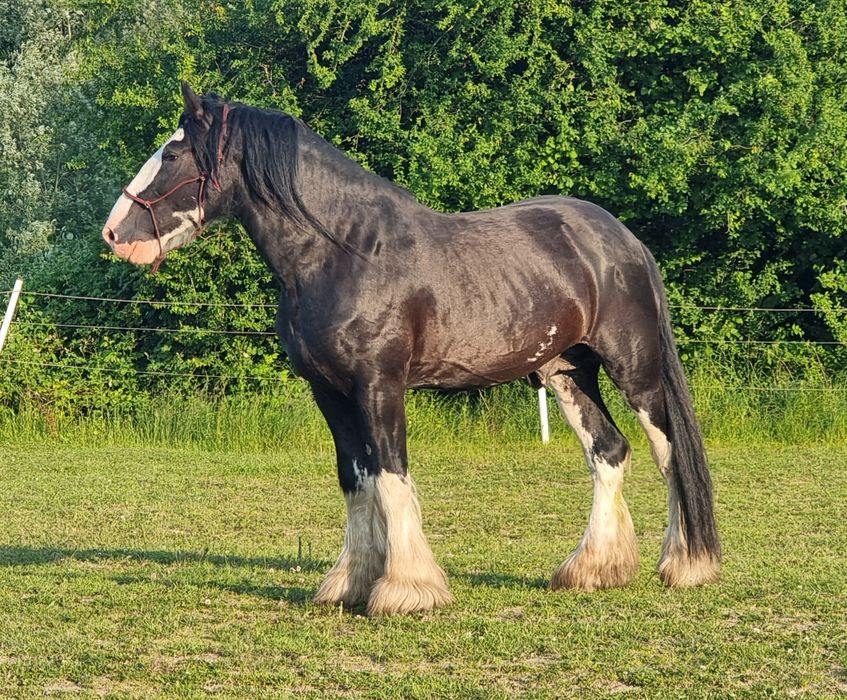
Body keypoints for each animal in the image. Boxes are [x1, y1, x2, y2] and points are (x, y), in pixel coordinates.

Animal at [102, 82, 720, 616]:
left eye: (173, 154)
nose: (113, 234)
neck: (346, 253)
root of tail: (624, 240)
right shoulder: (329, 392)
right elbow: (356, 479)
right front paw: (350, 584)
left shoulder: (380, 384)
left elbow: (391, 476)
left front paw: (406, 590)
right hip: (567, 373)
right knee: (608, 452)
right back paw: (591, 570)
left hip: (635, 372)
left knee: (669, 453)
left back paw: (684, 565)